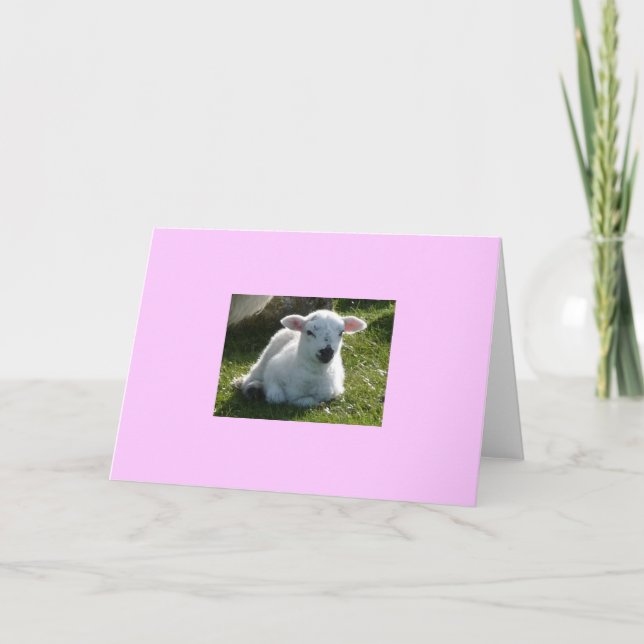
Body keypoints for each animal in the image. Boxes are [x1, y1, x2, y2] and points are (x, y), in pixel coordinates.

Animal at [233, 309, 367, 407]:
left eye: (341, 333)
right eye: (309, 332)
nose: (327, 352)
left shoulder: (330, 393)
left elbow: (308, 401)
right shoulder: (272, 370)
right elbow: (276, 397)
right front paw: (262, 390)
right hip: (267, 354)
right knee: (254, 374)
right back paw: (246, 385)